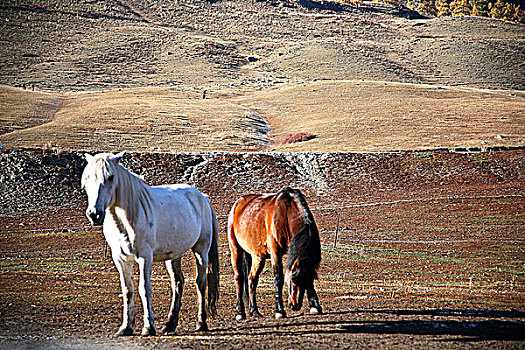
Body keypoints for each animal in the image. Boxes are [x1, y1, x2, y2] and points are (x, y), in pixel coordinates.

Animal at [81, 152, 219, 336]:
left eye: (110, 177)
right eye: (88, 177)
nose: (94, 214)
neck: (127, 219)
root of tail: (203, 198)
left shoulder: (145, 257)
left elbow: (144, 289)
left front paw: (148, 327)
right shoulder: (120, 259)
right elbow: (128, 290)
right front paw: (126, 327)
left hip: (201, 250)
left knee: (201, 282)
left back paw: (201, 323)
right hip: (173, 256)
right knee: (178, 283)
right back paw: (170, 324)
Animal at [227, 189, 322, 320]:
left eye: (308, 278)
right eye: (294, 278)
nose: (295, 305)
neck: (286, 214)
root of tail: (238, 204)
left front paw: (315, 306)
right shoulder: (275, 252)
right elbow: (278, 278)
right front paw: (280, 311)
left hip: (257, 256)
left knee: (252, 279)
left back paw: (254, 311)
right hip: (235, 249)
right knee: (239, 278)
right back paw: (240, 312)